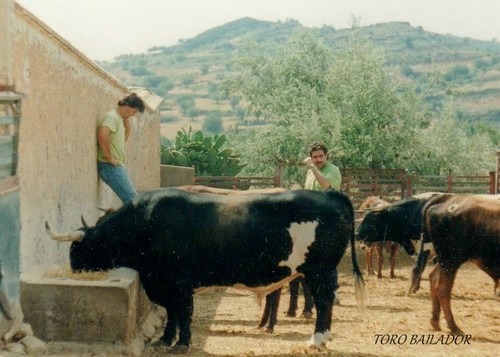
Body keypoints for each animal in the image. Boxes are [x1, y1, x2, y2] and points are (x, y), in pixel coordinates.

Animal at [46, 186, 368, 350]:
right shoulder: (163, 284)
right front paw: (166, 340)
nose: (73, 270)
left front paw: (181, 343)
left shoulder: (178, 282)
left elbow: (183, 311)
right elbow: (172, 312)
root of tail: (328, 194)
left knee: (325, 302)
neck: (145, 223)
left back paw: (317, 339)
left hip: (320, 271)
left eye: (77, 250)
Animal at [418, 193, 500, 332]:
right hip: (450, 260)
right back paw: (454, 328)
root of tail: (448, 198)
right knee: (443, 289)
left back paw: (436, 322)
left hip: (445, 261)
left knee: (433, 278)